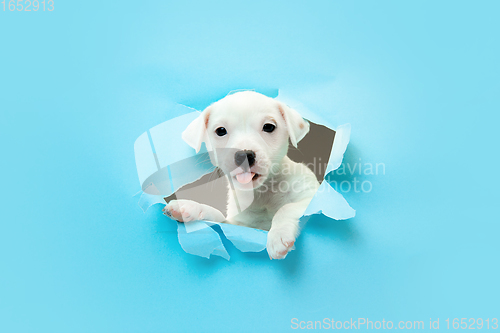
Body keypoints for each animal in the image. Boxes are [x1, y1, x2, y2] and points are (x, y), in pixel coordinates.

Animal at [164, 91, 320, 260]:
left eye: (269, 127)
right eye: (220, 130)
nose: (244, 155)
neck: (263, 192)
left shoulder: (313, 199)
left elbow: (287, 208)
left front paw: (278, 234)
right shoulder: (240, 227)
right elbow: (219, 217)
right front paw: (190, 207)